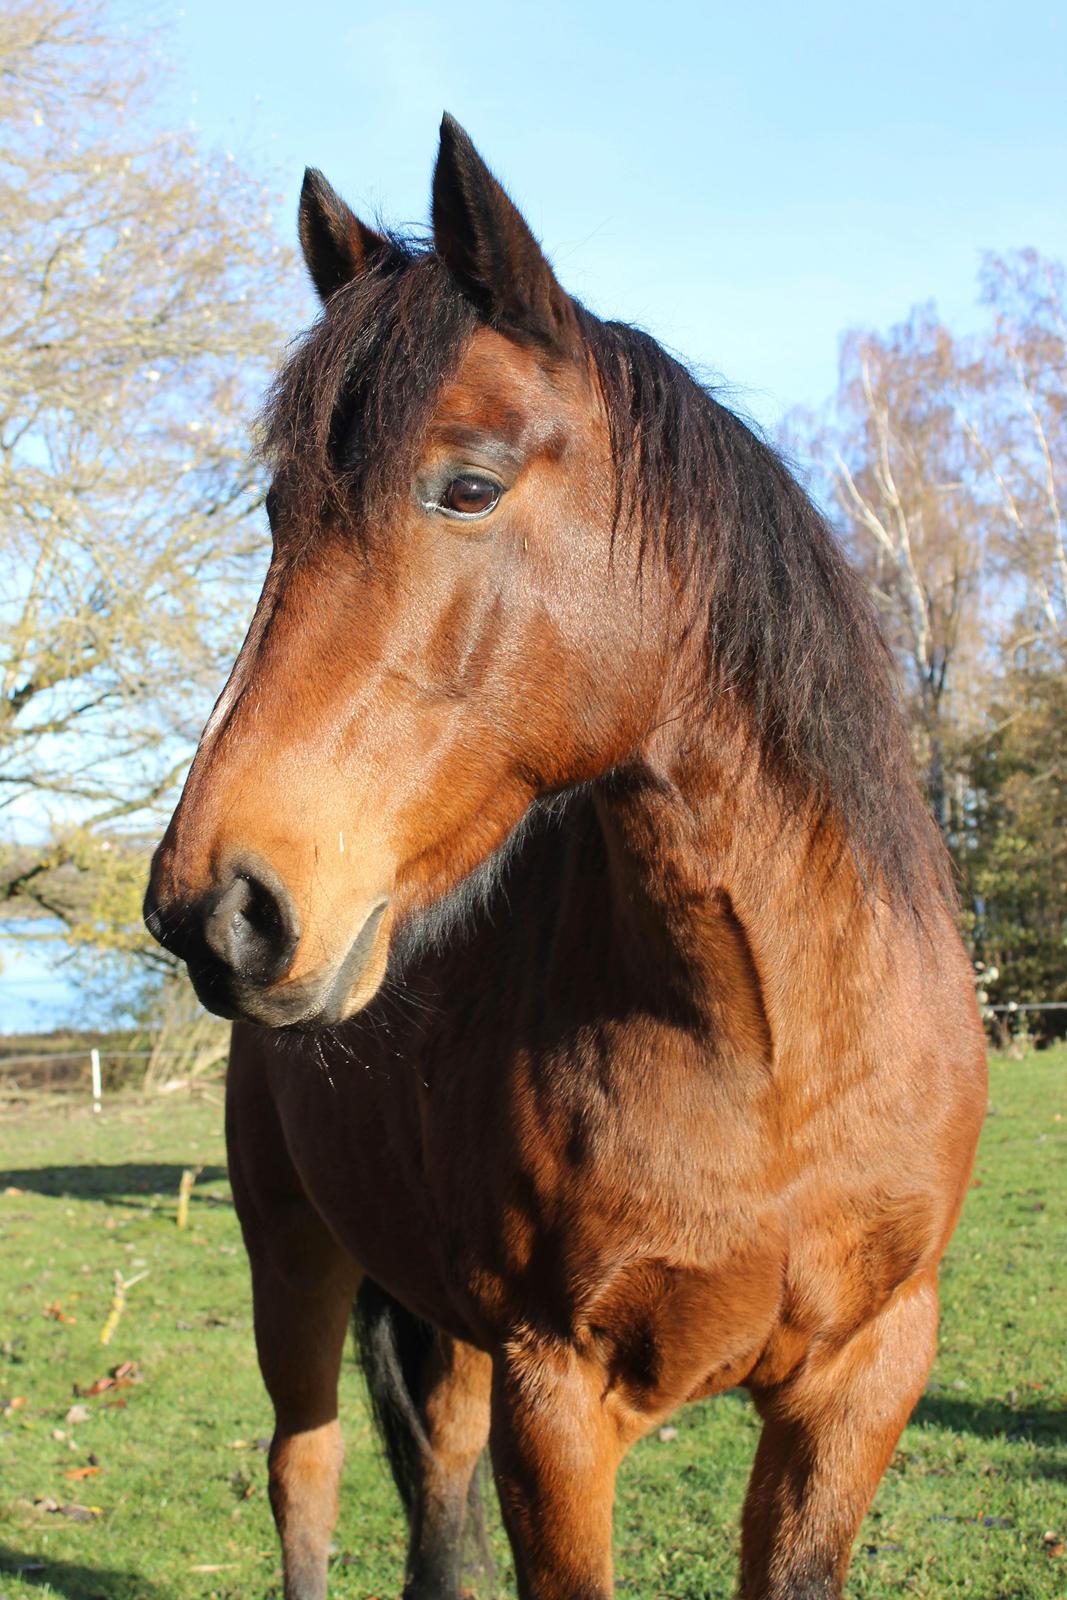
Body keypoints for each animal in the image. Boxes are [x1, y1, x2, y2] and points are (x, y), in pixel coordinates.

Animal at [146, 116, 991, 1600]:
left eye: (467, 485)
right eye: (274, 512)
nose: (216, 909)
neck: (771, 1046)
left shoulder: (862, 1376)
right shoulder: (560, 1401)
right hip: (292, 1258)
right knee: (305, 1472)